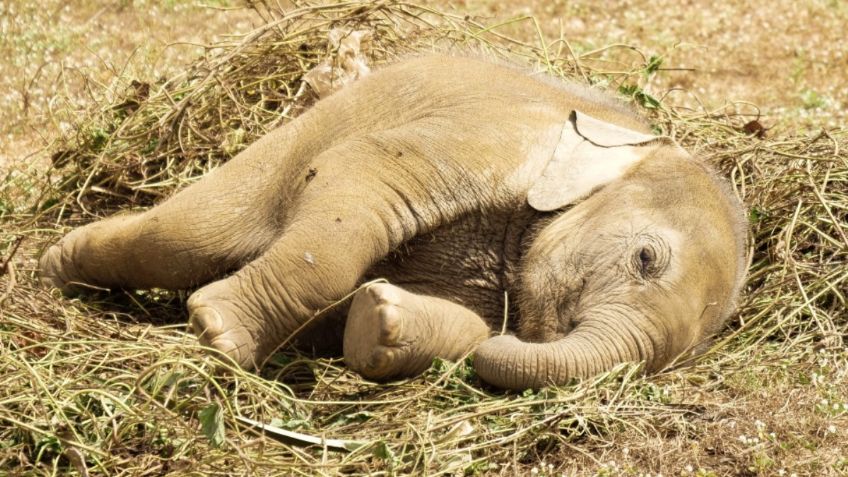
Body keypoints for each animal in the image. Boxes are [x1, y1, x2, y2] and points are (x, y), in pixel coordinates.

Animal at [38, 54, 748, 390]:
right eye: (646, 259)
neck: (639, 137)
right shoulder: (488, 137)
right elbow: (360, 172)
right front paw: (218, 331)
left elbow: (466, 327)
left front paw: (378, 321)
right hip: (288, 144)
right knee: (188, 236)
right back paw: (56, 269)